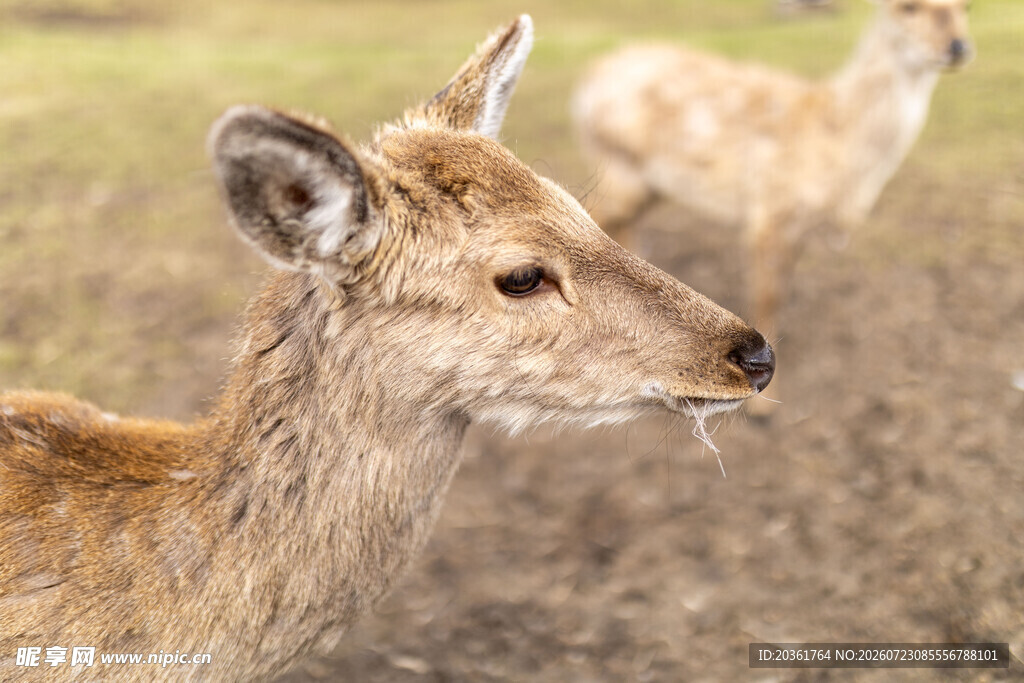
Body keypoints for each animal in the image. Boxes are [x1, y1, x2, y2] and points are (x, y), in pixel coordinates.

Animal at [573, 0, 972, 335]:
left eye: (965, 6)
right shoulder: (770, 210)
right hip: (618, 163)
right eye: (908, 7)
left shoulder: (799, 222)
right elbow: (768, 296)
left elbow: (782, 286)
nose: (958, 47)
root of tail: (586, 82)